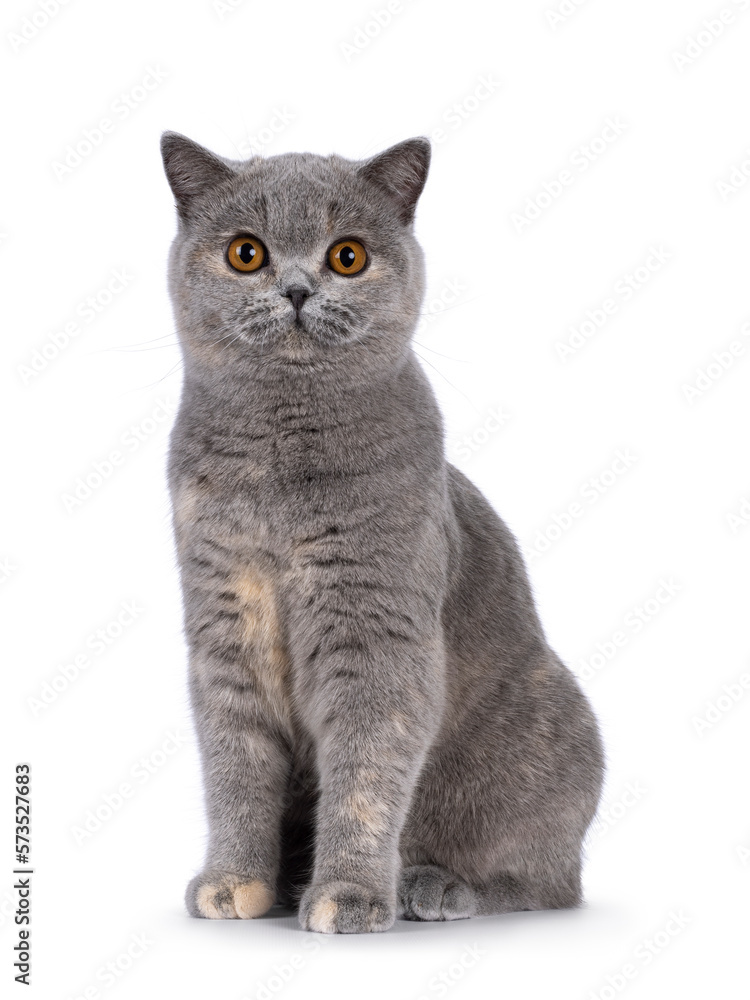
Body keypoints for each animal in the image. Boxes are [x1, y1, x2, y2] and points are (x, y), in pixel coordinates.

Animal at [163, 129, 604, 932]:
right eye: (247, 252)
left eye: (347, 256)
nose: (297, 289)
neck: (282, 468)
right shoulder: (223, 624)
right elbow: (235, 765)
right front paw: (235, 881)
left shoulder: (377, 625)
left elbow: (367, 775)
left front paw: (350, 895)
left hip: (553, 724)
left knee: (543, 883)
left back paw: (432, 887)